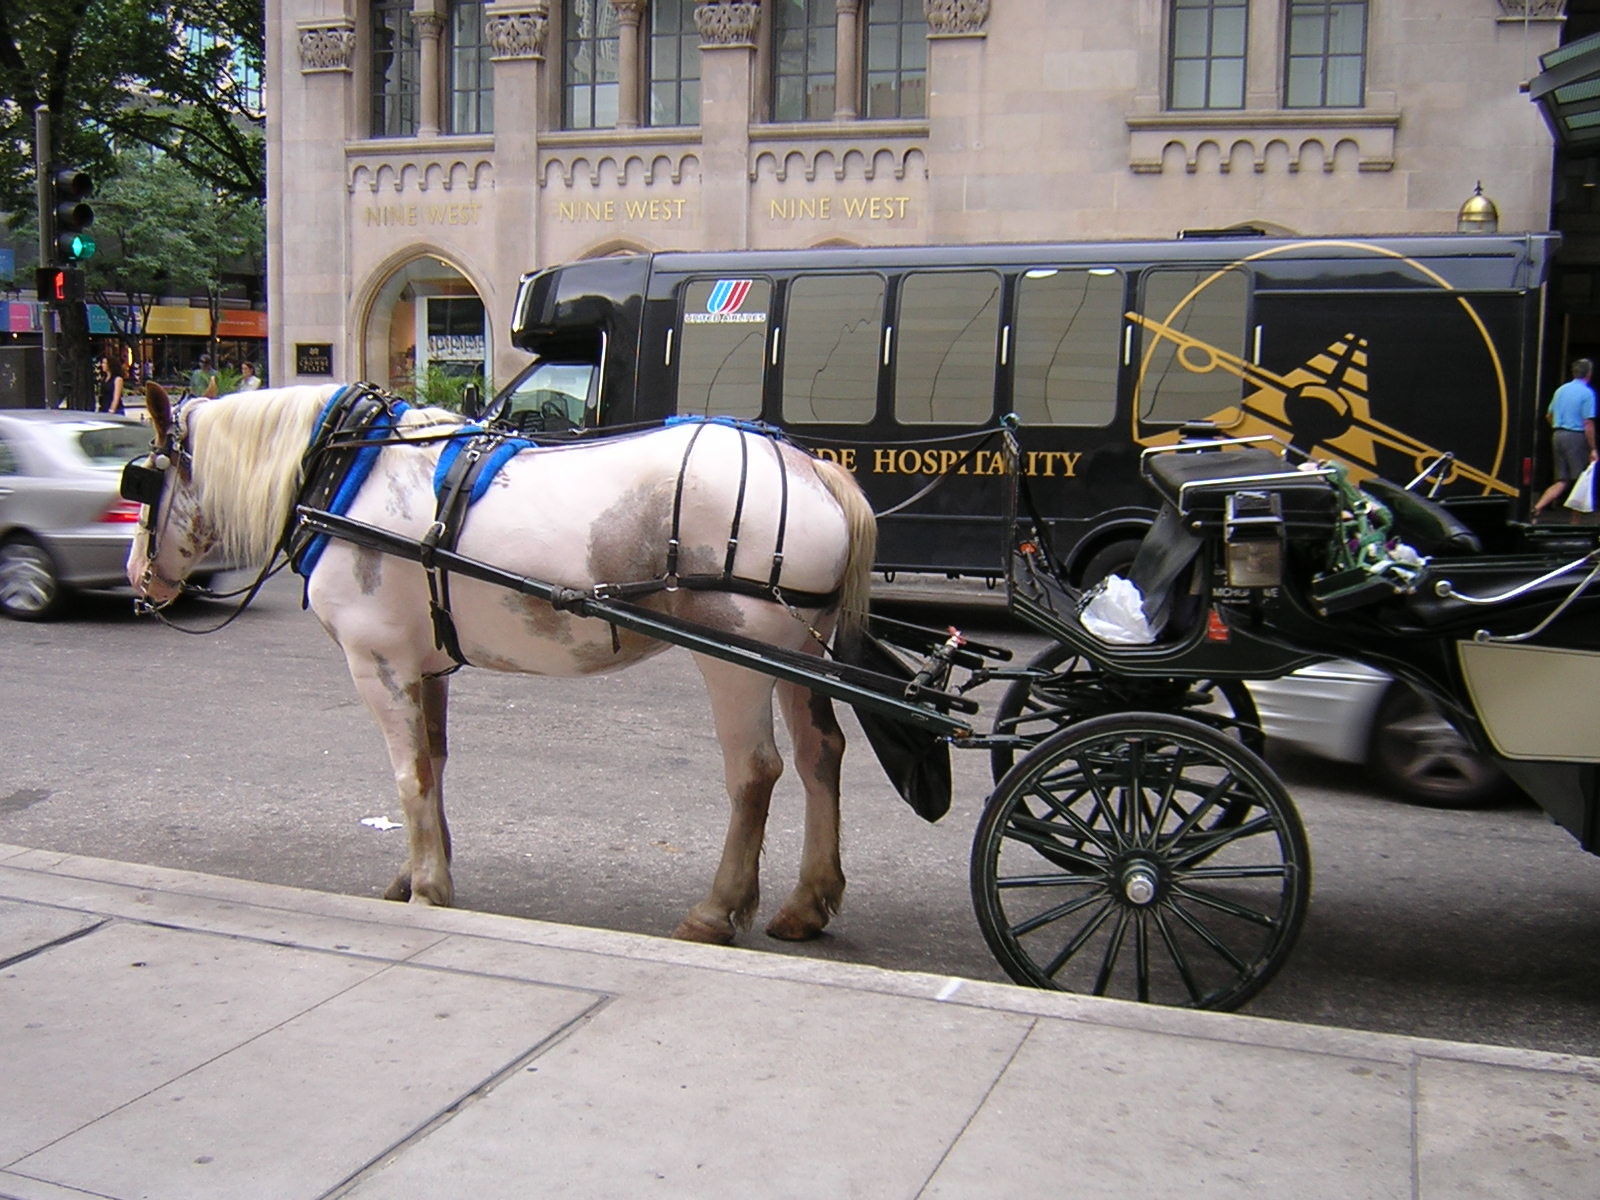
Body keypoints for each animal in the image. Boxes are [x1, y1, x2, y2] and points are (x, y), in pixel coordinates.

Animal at [125, 381, 877, 945]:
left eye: (142, 480)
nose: (139, 579)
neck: (344, 474)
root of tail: (812, 469)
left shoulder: (378, 662)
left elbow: (408, 776)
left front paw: (428, 889)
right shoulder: (424, 664)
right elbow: (433, 766)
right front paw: (420, 871)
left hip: (736, 658)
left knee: (756, 772)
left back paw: (716, 910)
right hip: (797, 652)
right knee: (820, 756)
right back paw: (808, 902)